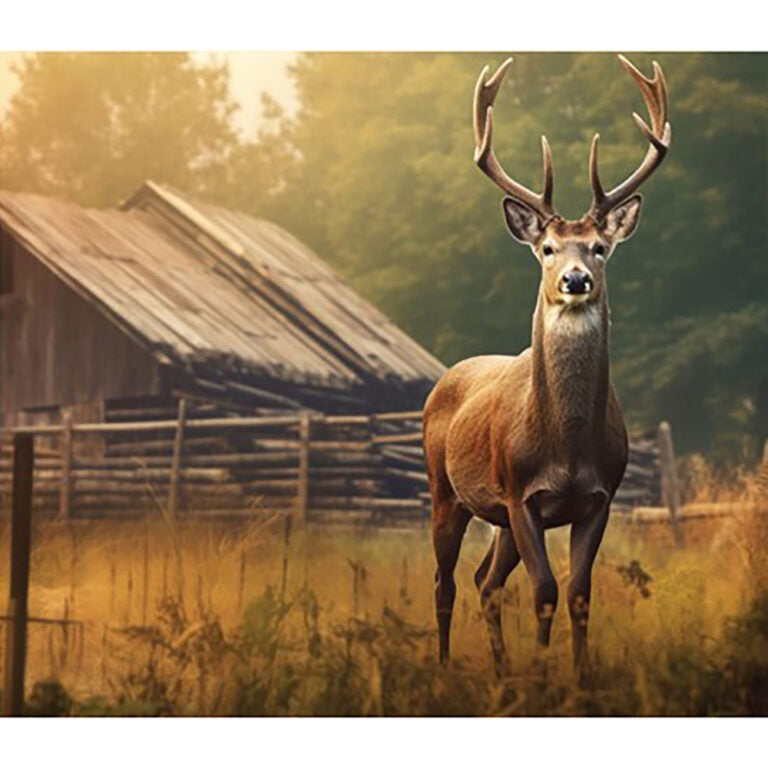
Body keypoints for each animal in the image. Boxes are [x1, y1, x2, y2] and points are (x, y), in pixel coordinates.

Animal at [423, 54, 671, 677]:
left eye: (600, 248)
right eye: (548, 249)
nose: (575, 280)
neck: (567, 448)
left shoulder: (600, 497)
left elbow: (579, 593)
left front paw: (577, 679)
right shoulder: (520, 494)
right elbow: (543, 592)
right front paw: (544, 675)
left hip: (496, 517)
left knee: (485, 582)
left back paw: (501, 672)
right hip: (445, 490)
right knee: (446, 583)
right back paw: (444, 667)